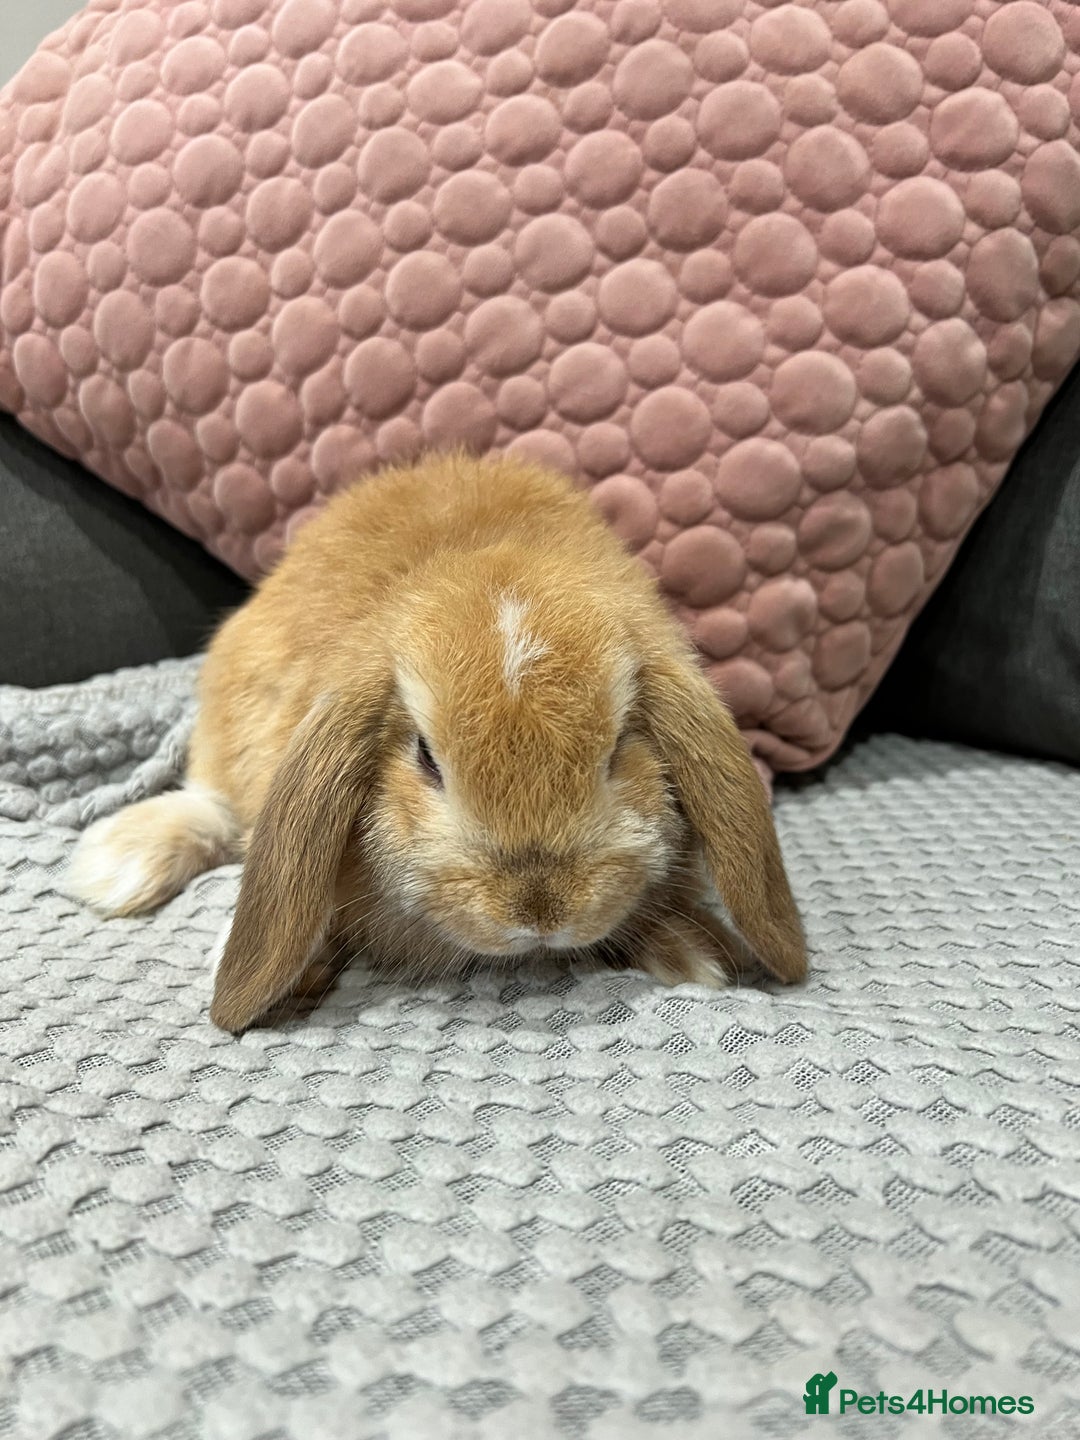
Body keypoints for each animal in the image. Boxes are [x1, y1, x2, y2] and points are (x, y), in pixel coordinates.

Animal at [66, 452, 806, 1032]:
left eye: (621, 743)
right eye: (426, 756)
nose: (539, 910)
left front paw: (696, 950)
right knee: (213, 807)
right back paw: (113, 864)